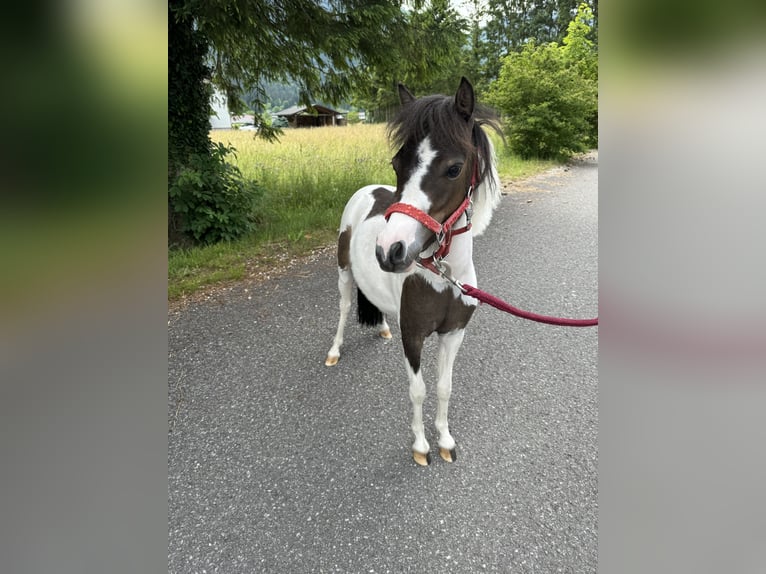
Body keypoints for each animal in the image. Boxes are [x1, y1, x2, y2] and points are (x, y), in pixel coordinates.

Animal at [324, 77, 502, 466]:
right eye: (396, 163)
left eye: (453, 168)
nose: (389, 250)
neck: (443, 276)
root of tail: (365, 190)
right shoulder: (415, 336)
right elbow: (418, 390)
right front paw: (421, 447)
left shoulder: (454, 333)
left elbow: (444, 387)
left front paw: (446, 440)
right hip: (343, 274)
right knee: (343, 308)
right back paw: (334, 351)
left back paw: (382, 329)